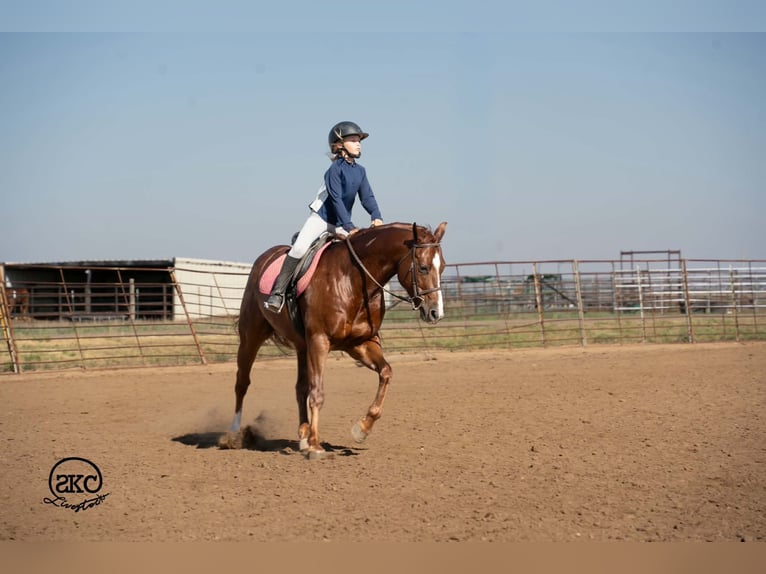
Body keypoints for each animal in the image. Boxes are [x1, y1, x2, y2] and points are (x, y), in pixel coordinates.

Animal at [226, 221, 448, 459]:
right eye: (423, 267)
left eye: (442, 267)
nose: (436, 313)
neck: (353, 280)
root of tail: (264, 258)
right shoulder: (320, 341)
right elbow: (318, 392)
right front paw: (315, 445)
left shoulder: (360, 343)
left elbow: (386, 372)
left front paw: (362, 429)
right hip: (251, 337)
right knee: (242, 383)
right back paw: (234, 434)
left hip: (302, 347)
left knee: (300, 387)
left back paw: (303, 435)